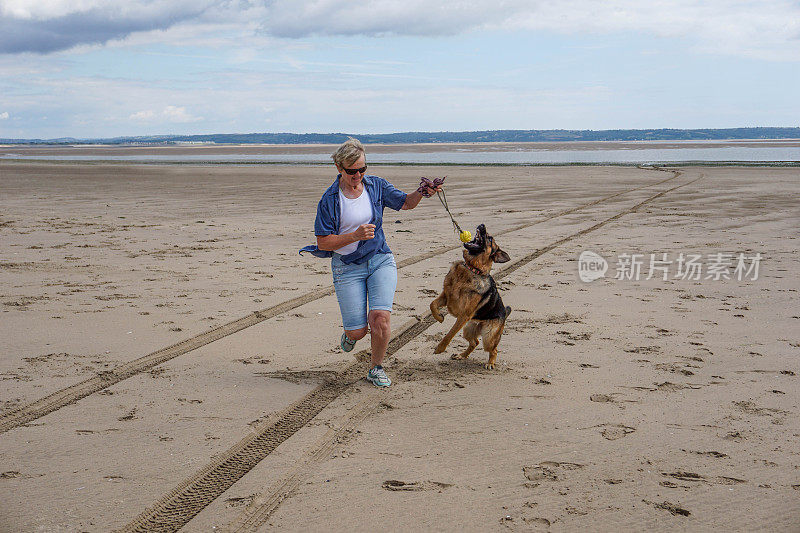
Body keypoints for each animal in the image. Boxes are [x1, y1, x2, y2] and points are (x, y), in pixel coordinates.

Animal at [432, 222, 512, 368]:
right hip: (468, 329)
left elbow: (450, 334)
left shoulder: (463, 316)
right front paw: (439, 317)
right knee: (475, 342)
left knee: (493, 349)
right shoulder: (446, 296)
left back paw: (490, 363)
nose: (482, 225)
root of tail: (504, 313)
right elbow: (432, 304)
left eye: (490, 239)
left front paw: (440, 348)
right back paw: (461, 355)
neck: (472, 268)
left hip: (488, 336)